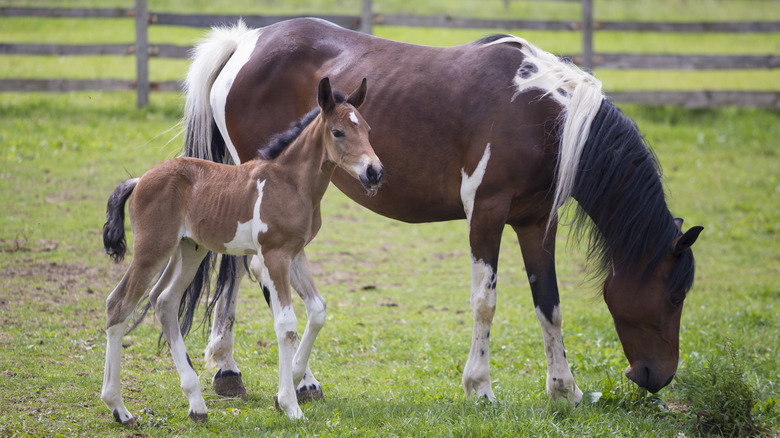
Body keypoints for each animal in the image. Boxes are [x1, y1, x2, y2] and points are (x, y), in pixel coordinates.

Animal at [100, 78, 384, 424]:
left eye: (367, 129)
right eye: (338, 132)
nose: (374, 172)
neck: (290, 183)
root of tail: (140, 180)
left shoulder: (296, 253)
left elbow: (317, 310)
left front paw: (293, 381)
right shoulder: (274, 254)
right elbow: (286, 324)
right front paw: (290, 405)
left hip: (189, 250)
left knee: (164, 300)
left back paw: (196, 404)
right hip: (152, 249)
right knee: (119, 304)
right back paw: (119, 408)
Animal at [180, 18, 704, 406]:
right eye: (675, 295)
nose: (656, 376)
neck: (543, 113)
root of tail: (243, 44)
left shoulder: (536, 223)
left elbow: (549, 304)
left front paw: (564, 389)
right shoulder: (487, 213)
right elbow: (485, 301)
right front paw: (480, 388)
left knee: (235, 268)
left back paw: (228, 369)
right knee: (256, 272)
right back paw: (297, 379)